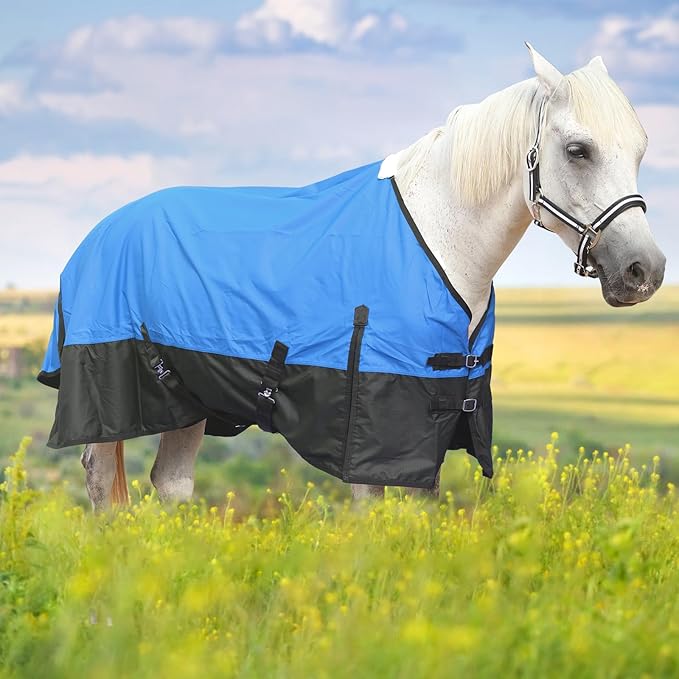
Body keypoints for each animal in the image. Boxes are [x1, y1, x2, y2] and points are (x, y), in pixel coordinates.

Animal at [39, 44, 665, 510]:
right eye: (578, 150)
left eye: (640, 149)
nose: (645, 271)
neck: (438, 237)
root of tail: (98, 235)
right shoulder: (375, 426)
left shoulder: (434, 422)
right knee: (101, 478)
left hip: (190, 399)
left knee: (171, 486)